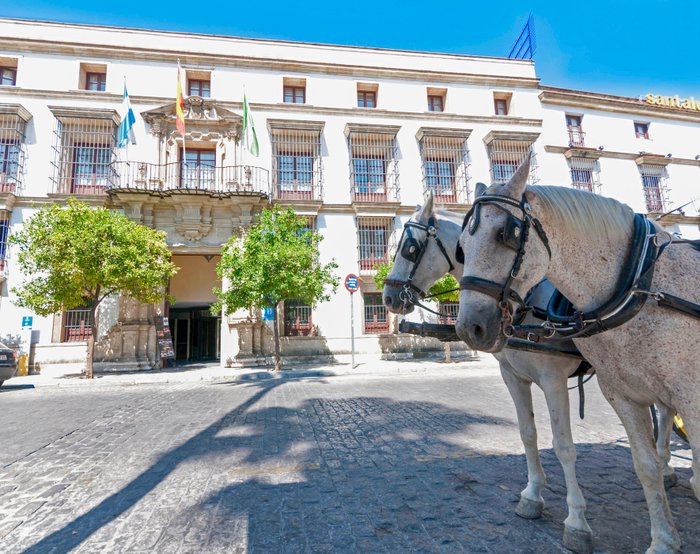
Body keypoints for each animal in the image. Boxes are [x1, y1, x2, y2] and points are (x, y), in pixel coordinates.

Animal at [380, 191, 680, 552]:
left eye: (410, 248)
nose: (389, 296)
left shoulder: (553, 380)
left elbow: (564, 446)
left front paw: (576, 521)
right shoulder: (513, 377)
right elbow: (528, 434)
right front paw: (533, 495)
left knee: (666, 411)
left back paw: (666, 466)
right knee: (663, 409)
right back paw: (666, 468)